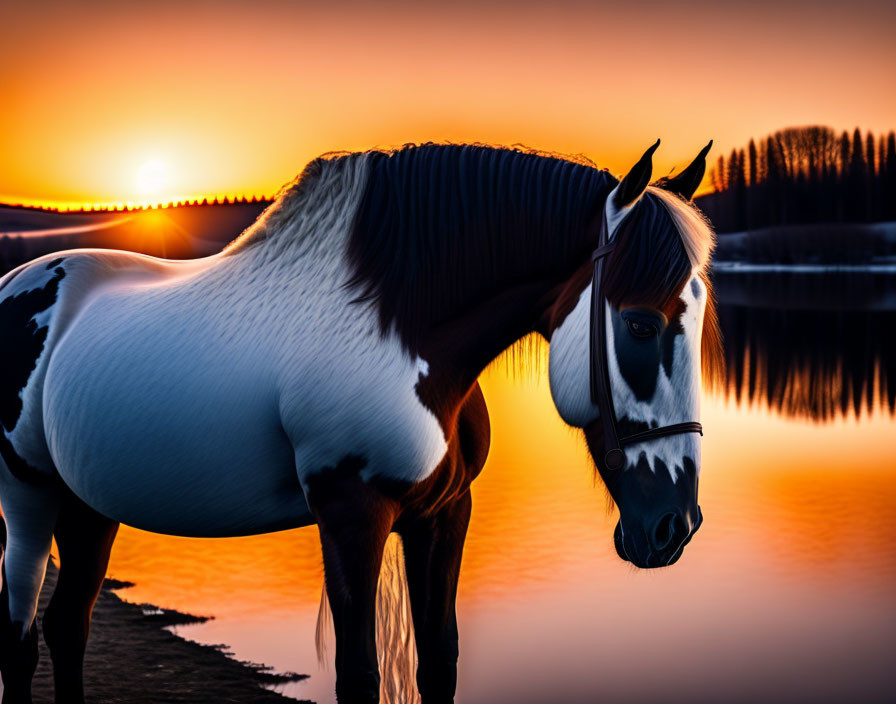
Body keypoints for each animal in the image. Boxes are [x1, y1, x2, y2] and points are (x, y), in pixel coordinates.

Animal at [0, 140, 716, 700]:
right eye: (640, 325)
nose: (673, 529)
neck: (397, 336)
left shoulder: (443, 515)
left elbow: (439, 665)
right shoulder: (352, 517)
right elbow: (359, 676)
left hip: (89, 502)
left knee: (68, 626)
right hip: (27, 495)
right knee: (22, 636)